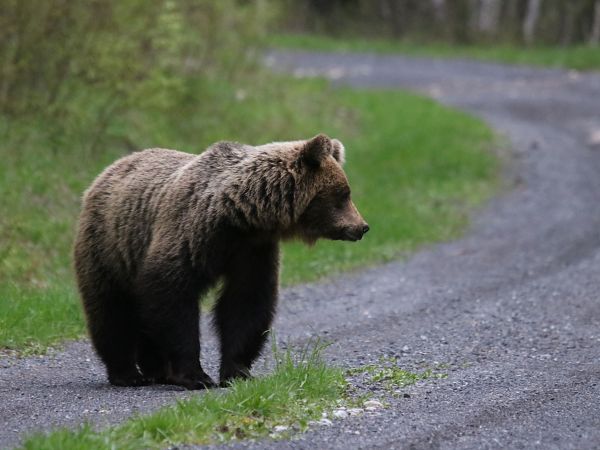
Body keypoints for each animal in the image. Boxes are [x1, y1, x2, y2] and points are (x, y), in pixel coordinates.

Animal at [73, 132, 368, 388]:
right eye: (344, 194)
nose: (362, 227)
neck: (239, 216)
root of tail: (107, 171)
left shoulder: (252, 250)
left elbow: (246, 303)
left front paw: (237, 372)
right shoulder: (190, 234)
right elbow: (172, 298)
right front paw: (195, 376)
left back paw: (155, 370)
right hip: (109, 248)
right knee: (111, 310)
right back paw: (127, 374)